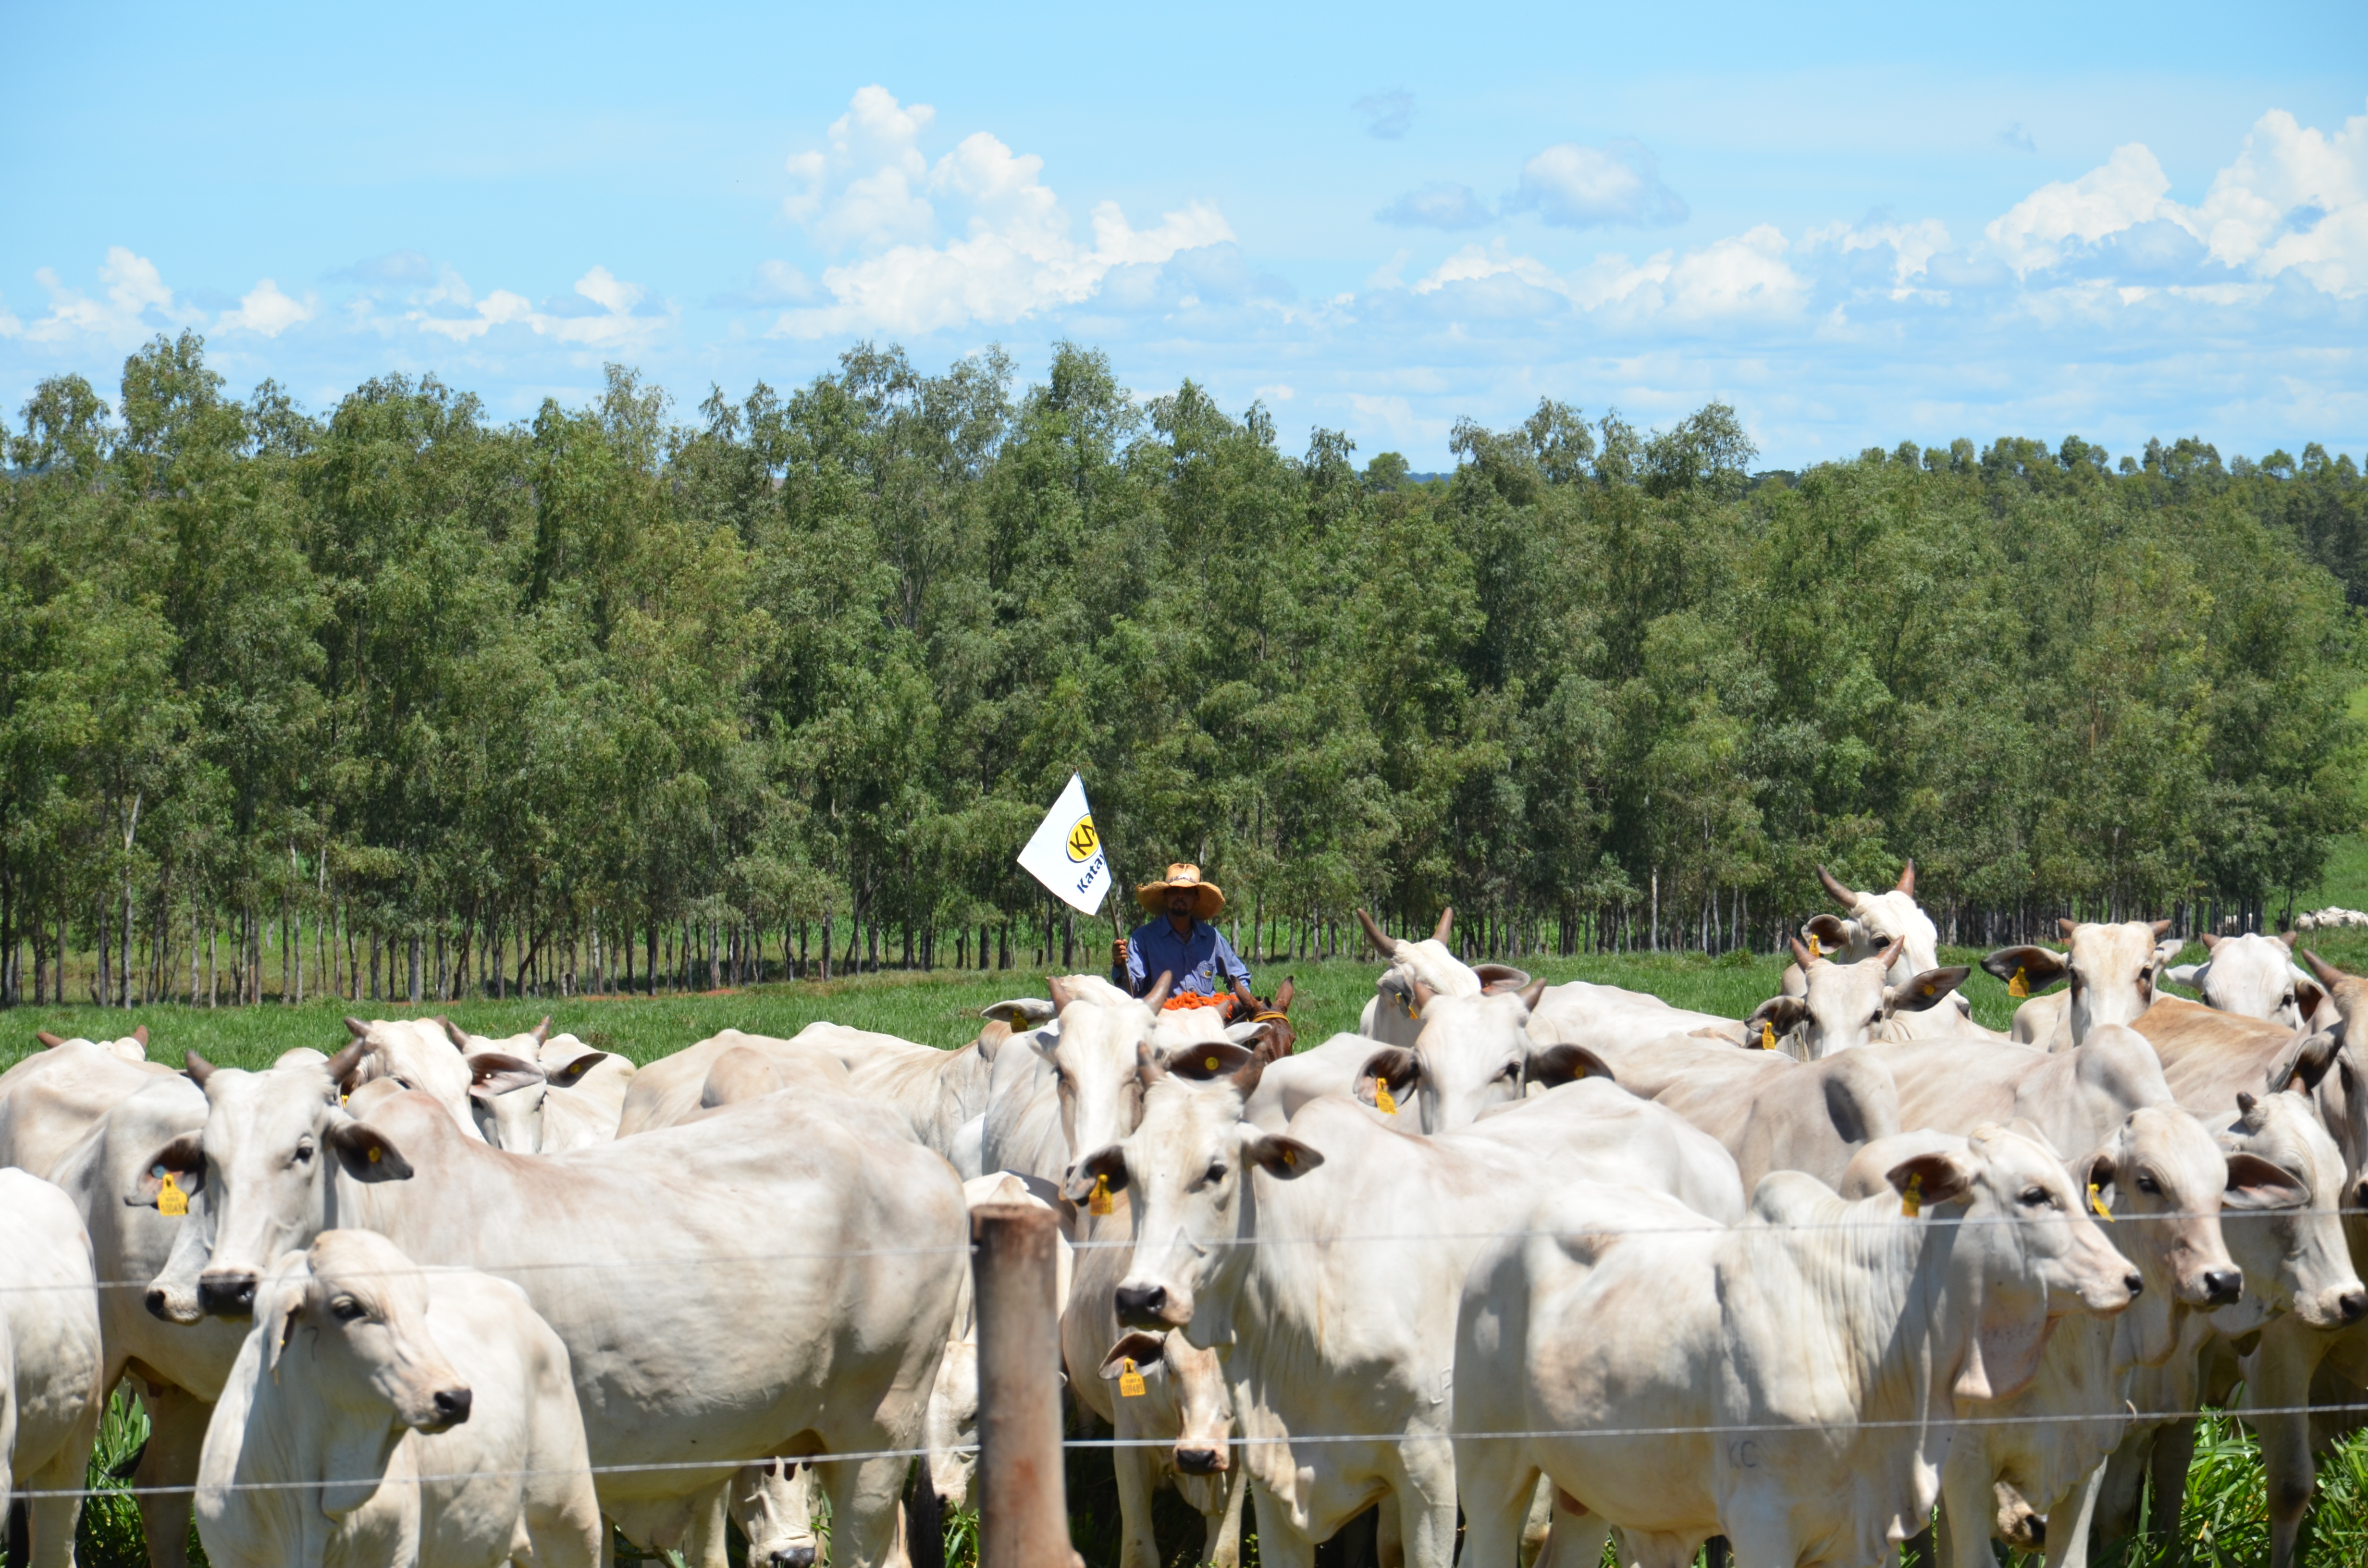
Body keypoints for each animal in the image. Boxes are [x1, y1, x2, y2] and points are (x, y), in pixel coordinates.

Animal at [1449, 1132, 2140, 1568]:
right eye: (2034, 1195)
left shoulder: (1861, 1533)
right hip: (1490, 1470)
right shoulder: (1762, 1523)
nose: (2130, 1280)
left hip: (1589, 1492)